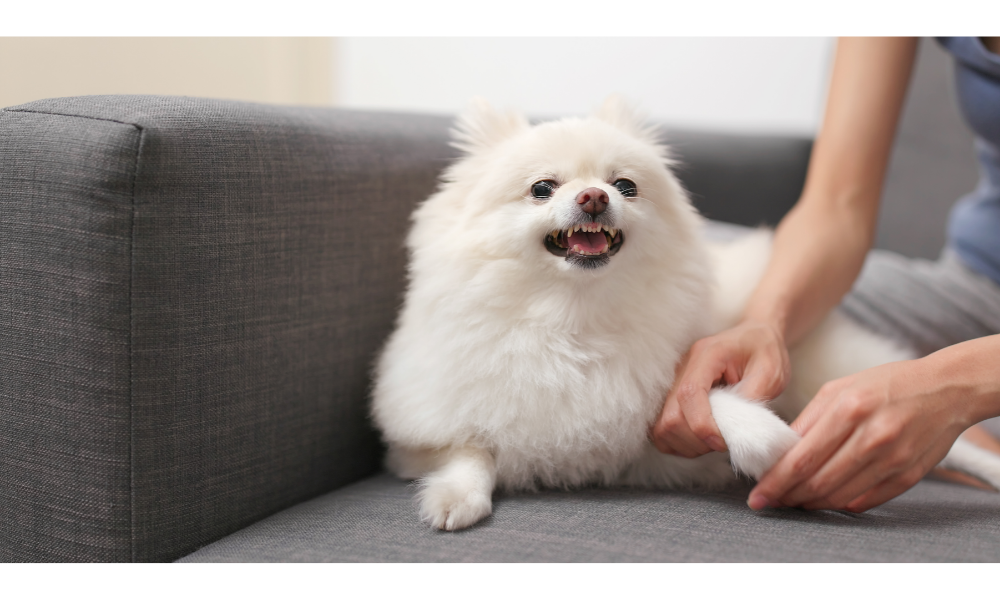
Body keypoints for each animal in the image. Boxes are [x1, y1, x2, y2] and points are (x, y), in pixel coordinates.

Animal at [372, 97, 1000, 528]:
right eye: (542, 188)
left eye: (625, 185)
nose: (595, 196)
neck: (575, 318)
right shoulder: (423, 432)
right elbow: (469, 450)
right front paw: (455, 497)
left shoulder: (677, 403)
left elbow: (716, 396)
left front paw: (767, 439)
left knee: (963, 443)